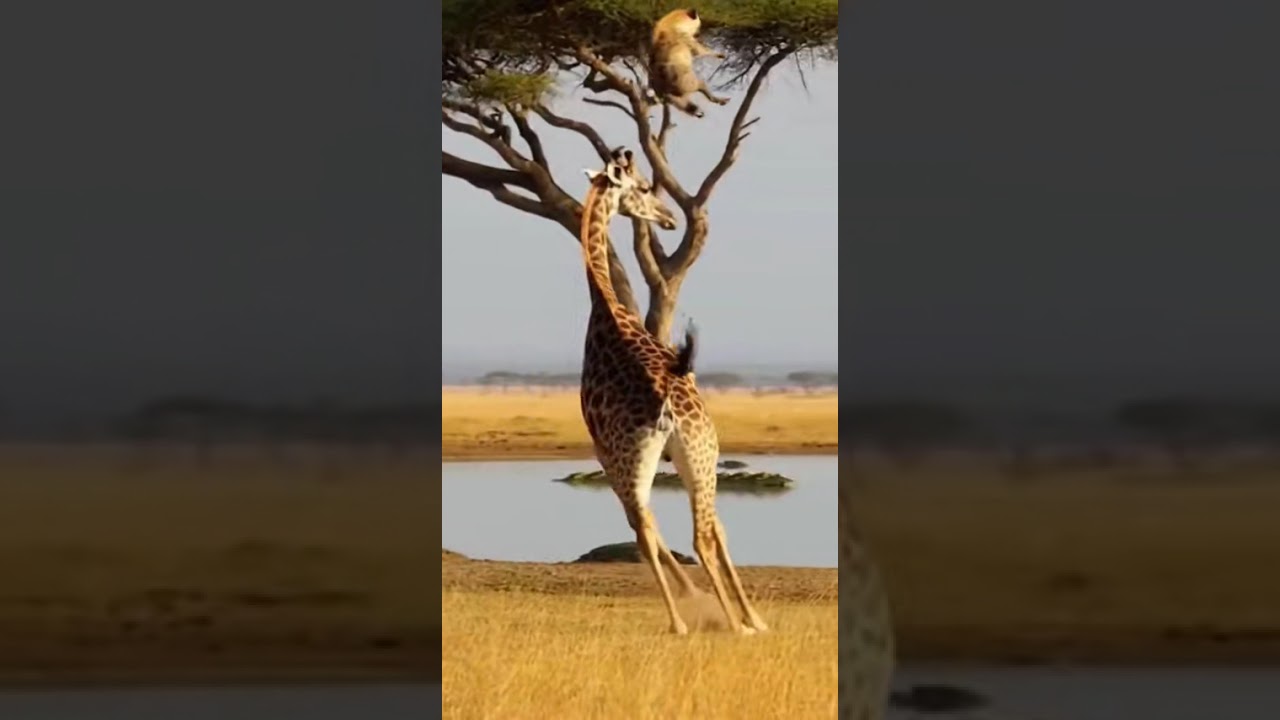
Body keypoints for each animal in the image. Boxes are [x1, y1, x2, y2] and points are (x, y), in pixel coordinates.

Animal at [575, 147, 768, 636]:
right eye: (644, 187)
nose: (666, 217)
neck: (605, 304)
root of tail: (665, 403)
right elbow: (716, 530)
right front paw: (751, 617)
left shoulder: (612, 453)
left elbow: (656, 526)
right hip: (687, 452)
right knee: (695, 533)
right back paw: (728, 623)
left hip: (657, 457)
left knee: (650, 527)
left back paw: (685, 620)